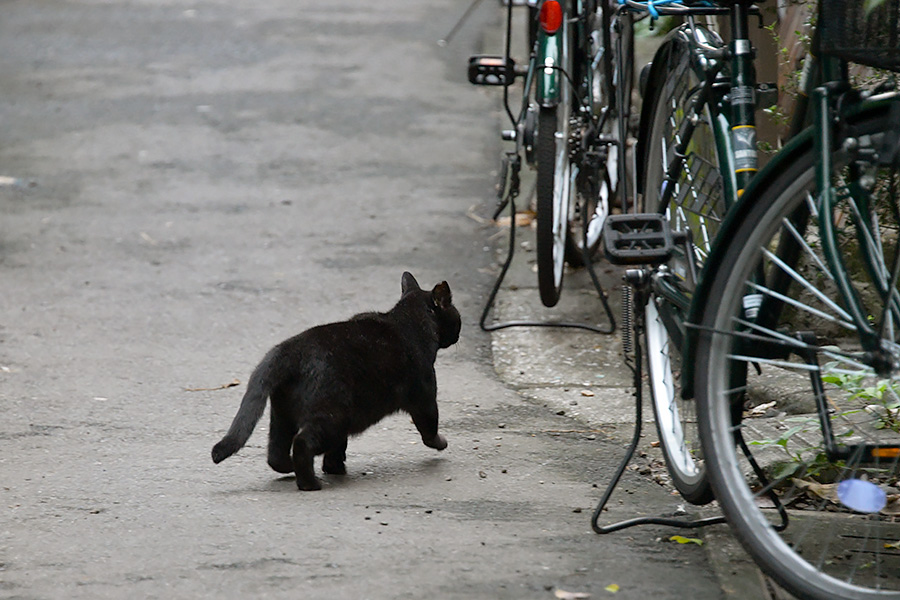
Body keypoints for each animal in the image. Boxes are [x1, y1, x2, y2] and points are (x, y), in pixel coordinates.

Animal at [211, 274, 460, 490]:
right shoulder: (425, 399)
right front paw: (441, 443)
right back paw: (310, 484)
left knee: (276, 452)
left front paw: (334, 467)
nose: (458, 335)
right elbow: (429, 427)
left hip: (283, 415)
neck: (410, 322)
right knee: (302, 444)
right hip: (332, 417)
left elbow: (338, 448)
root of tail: (288, 349)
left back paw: (291, 469)